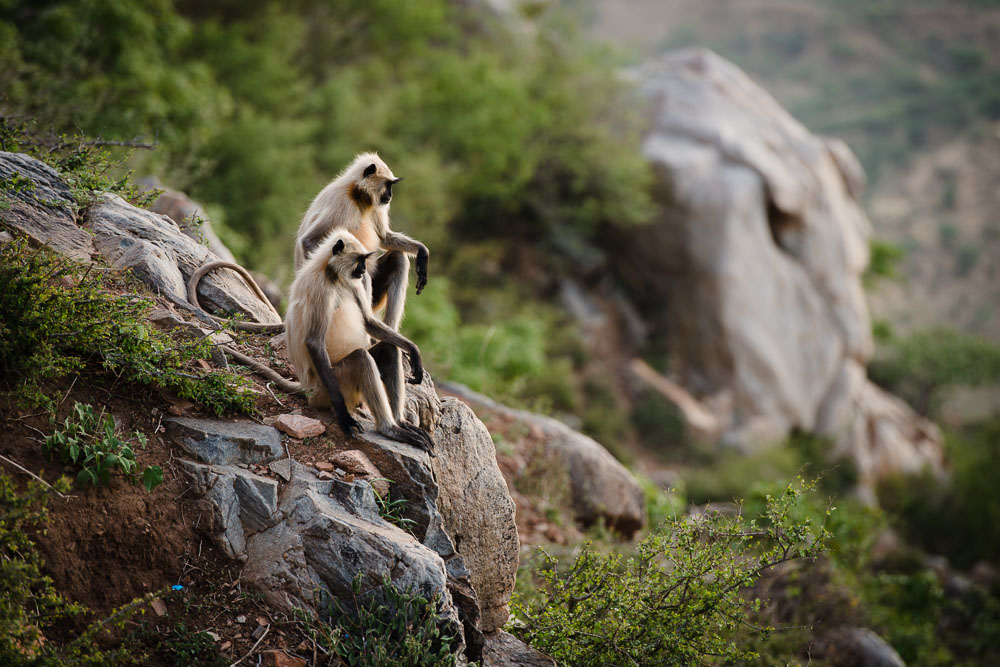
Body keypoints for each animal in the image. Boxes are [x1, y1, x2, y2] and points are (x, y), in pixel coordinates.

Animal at [286, 227, 434, 452]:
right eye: (360, 259)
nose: (364, 270)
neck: (332, 275)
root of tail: (307, 389)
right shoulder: (320, 289)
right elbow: (313, 341)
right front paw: (343, 415)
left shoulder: (351, 283)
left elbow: (368, 321)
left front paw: (414, 352)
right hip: (325, 389)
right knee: (361, 358)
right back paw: (389, 429)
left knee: (389, 349)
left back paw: (400, 422)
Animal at [292, 152, 428, 426]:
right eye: (388, 185)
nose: (390, 196)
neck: (358, 197)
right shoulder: (340, 203)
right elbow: (310, 241)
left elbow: (384, 238)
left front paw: (422, 252)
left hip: (377, 298)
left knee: (398, 259)